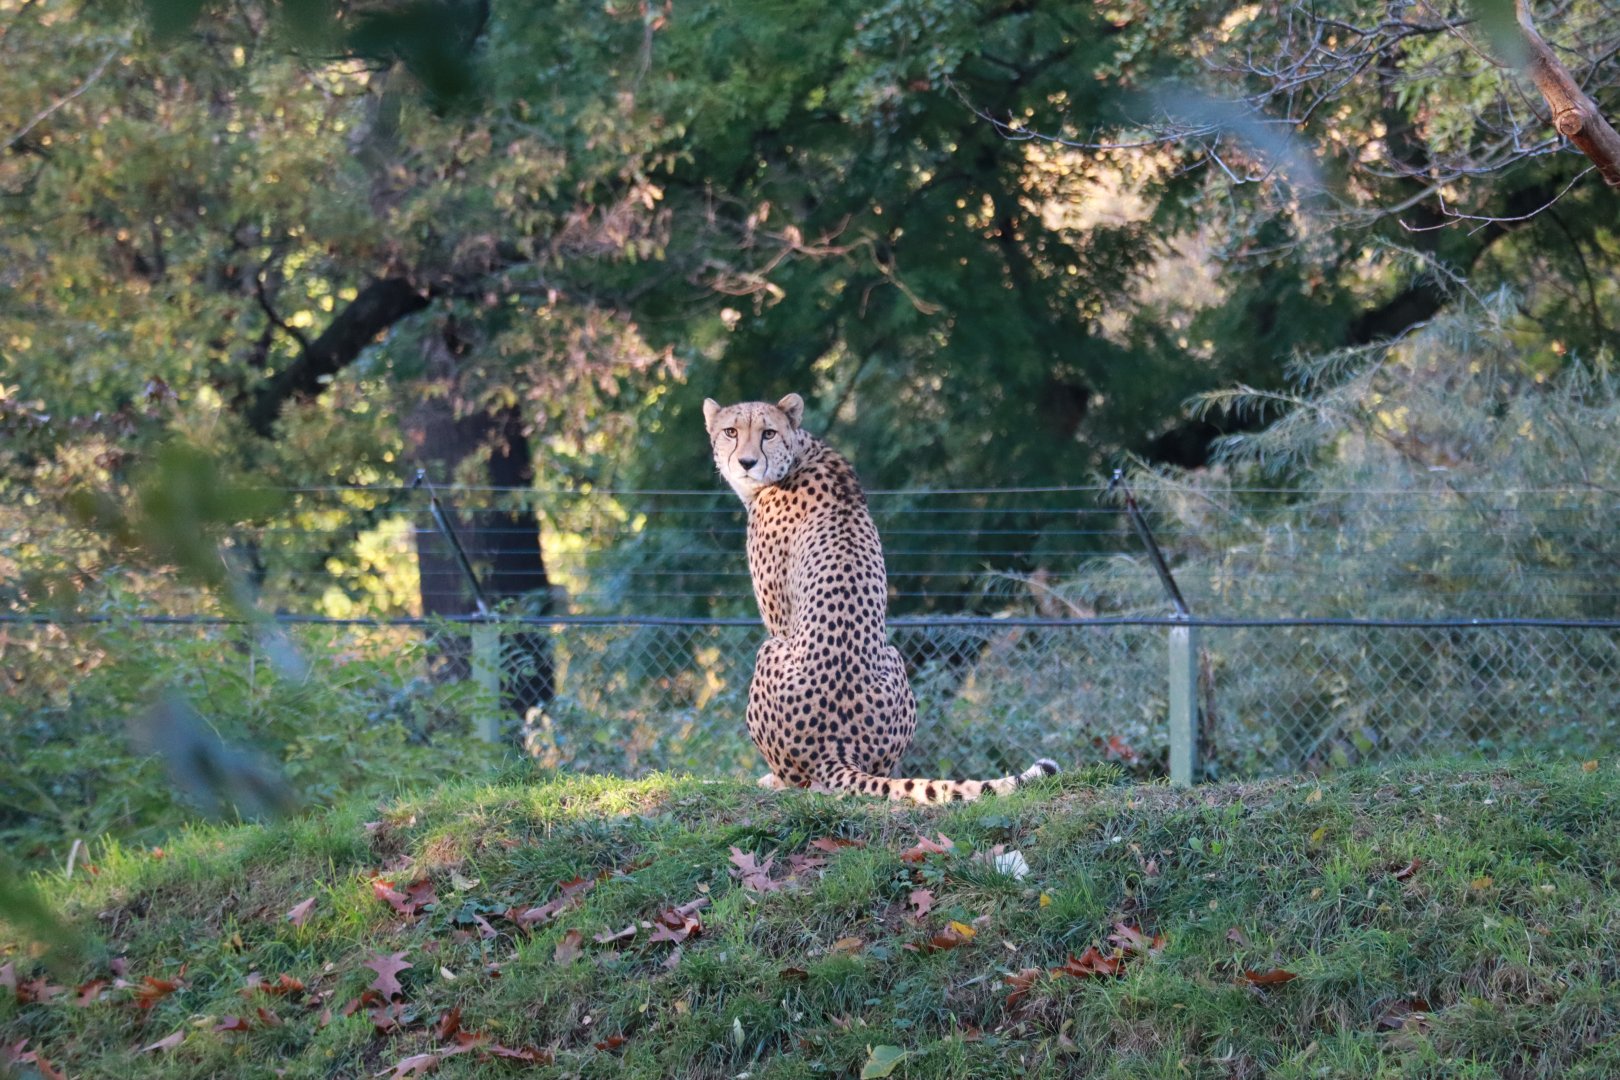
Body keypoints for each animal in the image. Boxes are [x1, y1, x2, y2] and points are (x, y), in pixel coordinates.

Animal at [703, 392, 1059, 804]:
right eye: (731, 431)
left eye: (768, 433)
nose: (747, 462)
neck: (799, 454)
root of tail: (837, 747)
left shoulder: (779, 623)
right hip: (893, 657)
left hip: (770, 651)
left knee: (798, 782)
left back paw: (761, 780)